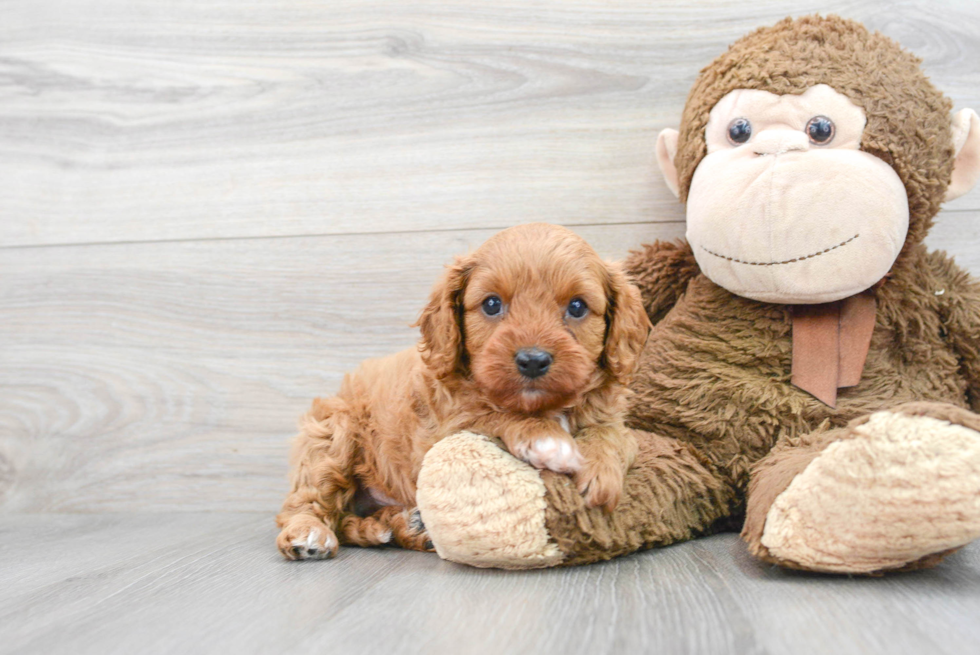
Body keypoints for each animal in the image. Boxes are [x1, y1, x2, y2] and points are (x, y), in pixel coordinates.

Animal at [276, 224, 652, 560]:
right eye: (491, 304)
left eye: (577, 307)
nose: (532, 361)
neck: (541, 406)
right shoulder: (445, 428)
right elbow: (493, 415)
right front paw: (547, 439)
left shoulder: (616, 422)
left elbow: (611, 436)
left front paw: (600, 471)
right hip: (332, 435)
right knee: (307, 503)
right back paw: (309, 532)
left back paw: (405, 527)